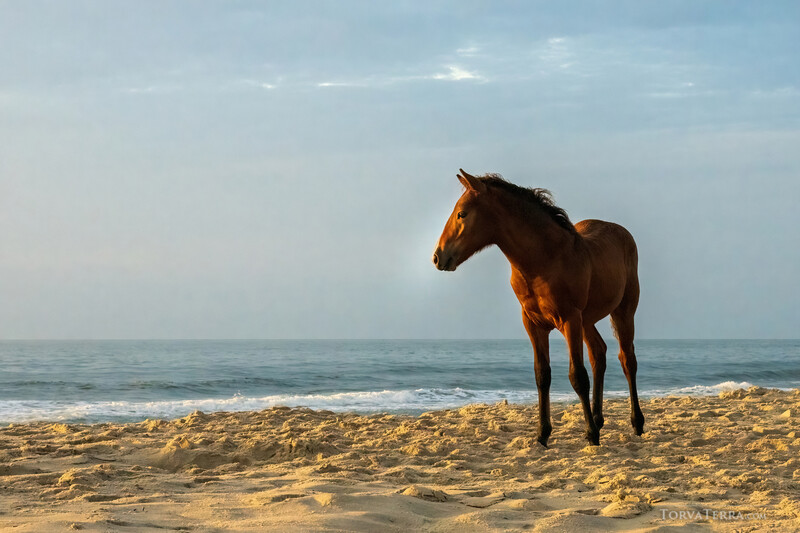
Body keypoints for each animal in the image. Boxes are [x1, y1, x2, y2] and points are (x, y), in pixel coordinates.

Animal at [432, 169, 644, 446]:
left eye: (462, 214)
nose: (438, 257)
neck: (544, 261)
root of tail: (622, 232)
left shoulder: (569, 320)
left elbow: (578, 376)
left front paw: (590, 435)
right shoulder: (533, 323)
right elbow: (542, 375)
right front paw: (543, 434)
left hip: (623, 311)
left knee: (627, 359)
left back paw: (636, 423)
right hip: (587, 320)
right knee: (599, 354)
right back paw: (598, 419)